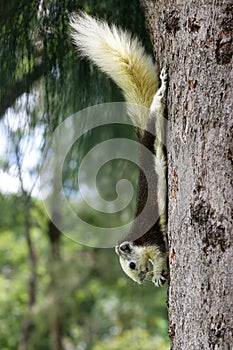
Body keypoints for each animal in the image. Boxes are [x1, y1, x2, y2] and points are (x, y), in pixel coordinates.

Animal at [70, 12, 168, 286]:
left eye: (132, 264)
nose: (141, 280)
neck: (137, 241)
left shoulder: (154, 242)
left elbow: (161, 255)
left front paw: (158, 274)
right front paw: (157, 276)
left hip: (155, 127)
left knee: (156, 109)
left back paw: (161, 91)